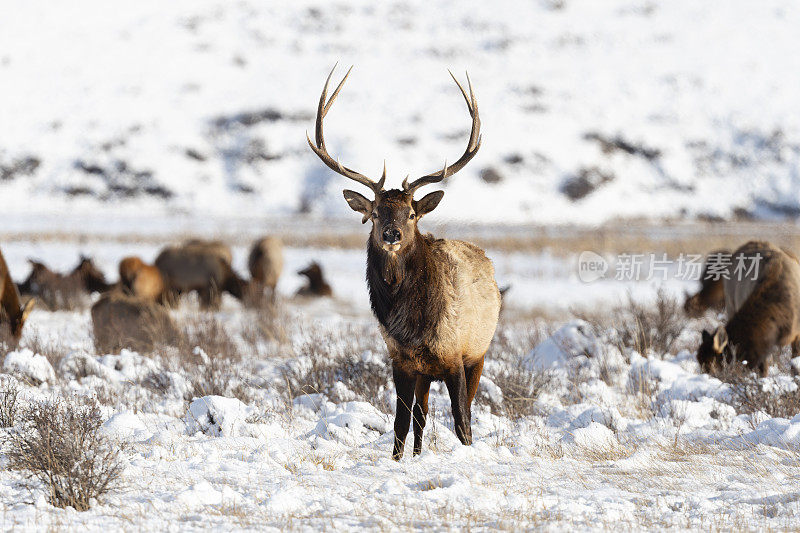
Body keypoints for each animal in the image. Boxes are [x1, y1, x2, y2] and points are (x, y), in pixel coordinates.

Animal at [306, 65, 500, 458]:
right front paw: (398, 461)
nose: (391, 234)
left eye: (411, 214)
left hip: (480, 353)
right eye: (376, 212)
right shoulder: (401, 361)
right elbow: (399, 424)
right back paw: (417, 454)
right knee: (421, 417)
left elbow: (462, 421)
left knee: (461, 411)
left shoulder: (456, 356)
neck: (414, 324)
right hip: (425, 373)